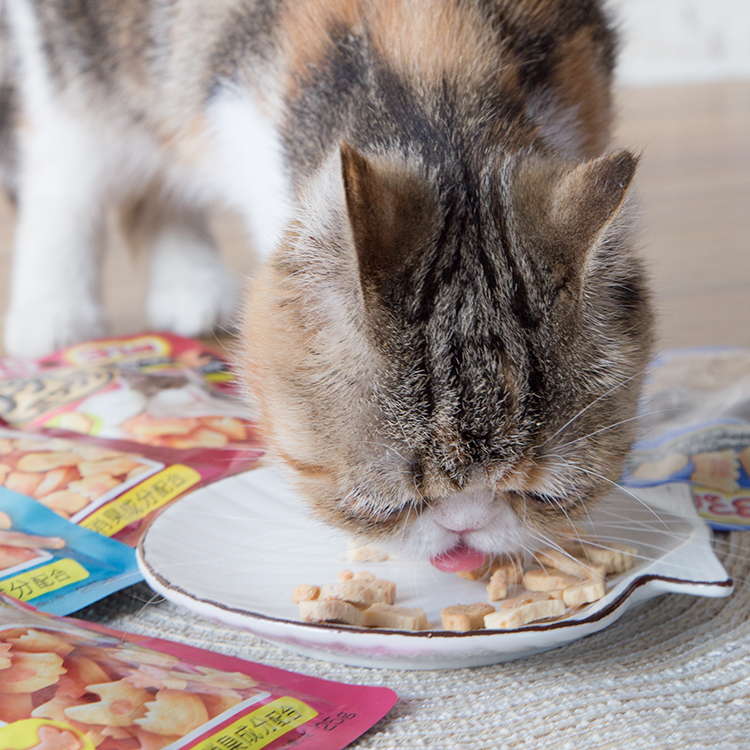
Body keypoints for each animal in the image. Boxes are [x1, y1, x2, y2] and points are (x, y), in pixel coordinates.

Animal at [0, 0, 656, 572]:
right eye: (386, 505)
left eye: (546, 495)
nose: (466, 527)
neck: (442, 92)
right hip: (75, 64)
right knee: (68, 169)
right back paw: (54, 313)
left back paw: (191, 289)